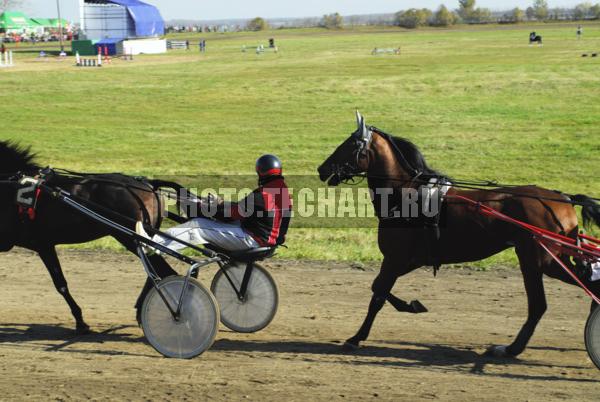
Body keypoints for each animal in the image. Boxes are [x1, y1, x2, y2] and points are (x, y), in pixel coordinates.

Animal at [0, 141, 177, 332]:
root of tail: (148, 184)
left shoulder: (40, 245)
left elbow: (60, 284)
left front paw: (80, 322)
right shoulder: (40, 245)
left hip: (129, 237)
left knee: (163, 271)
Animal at [318, 112, 600, 358]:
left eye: (350, 144)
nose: (322, 169)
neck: (406, 195)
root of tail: (563, 198)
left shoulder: (395, 258)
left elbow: (377, 292)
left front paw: (360, 335)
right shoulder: (410, 260)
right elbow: (378, 290)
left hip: (535, 259)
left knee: (539, 305)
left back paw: (510, 349)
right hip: (550, 260)